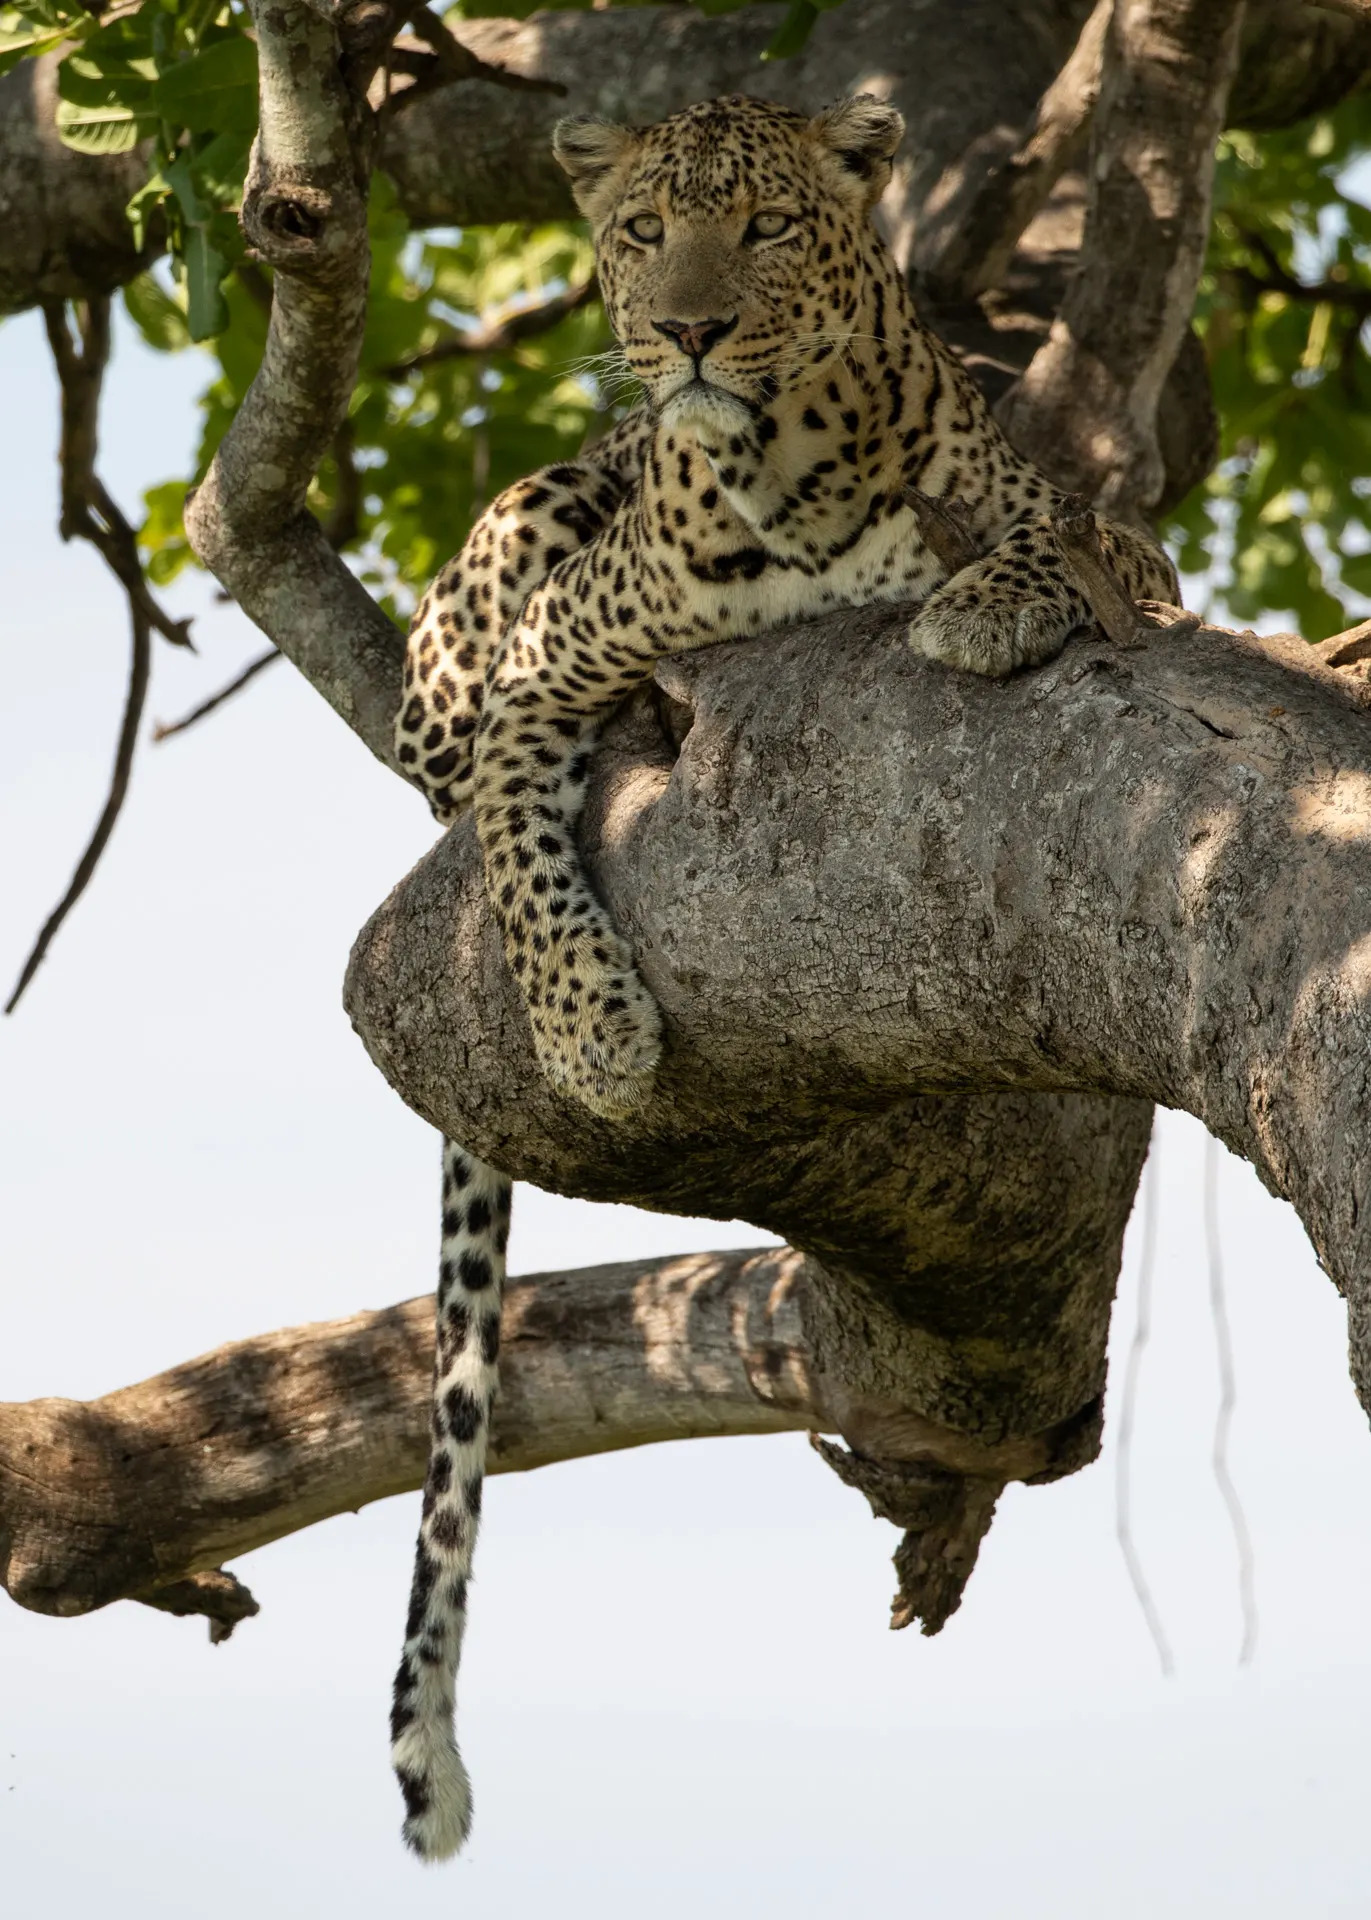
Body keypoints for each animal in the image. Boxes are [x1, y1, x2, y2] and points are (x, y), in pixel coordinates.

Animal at [387, 86, 1175, 1858]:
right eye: (638, 232)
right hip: (501, 563)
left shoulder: (1103, 545)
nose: (685, 327)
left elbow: (1065, 541)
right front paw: (593, 1034)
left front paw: (976, 606)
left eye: (760, 228)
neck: (780, 471)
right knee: (447, 745)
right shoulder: (542, 670)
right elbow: (519, 852)